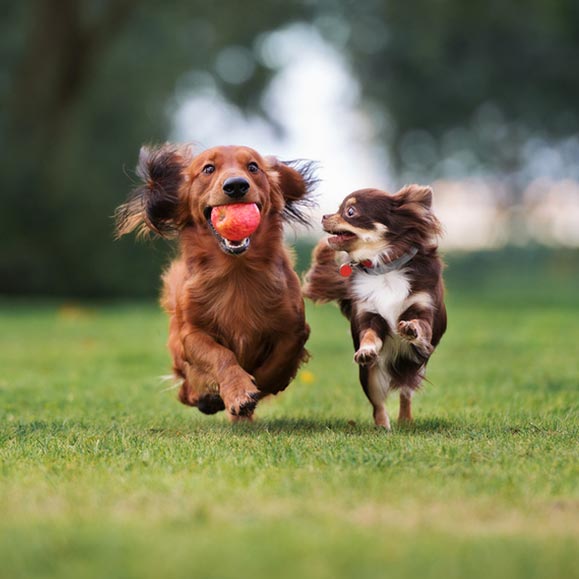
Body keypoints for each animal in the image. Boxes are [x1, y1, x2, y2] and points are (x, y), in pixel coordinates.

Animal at [116, 143, 320, 420]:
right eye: (208, 169)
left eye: (253, 166)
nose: (236, 186)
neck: (236, 272)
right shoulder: (191, 334)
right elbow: (220, 355)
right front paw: (238, 391)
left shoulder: (294, 328)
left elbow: (278, 362)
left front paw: (256, 387)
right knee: (186, 391)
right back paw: (207, 398)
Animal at [304, 187, 448, 430]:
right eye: (339, 208)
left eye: (350, 211)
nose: (324, 216)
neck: (384, 268)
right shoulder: (369, 315)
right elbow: (370, 336)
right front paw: (366, 350)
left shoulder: (423, 309)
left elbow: (420, 326)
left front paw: (411, 329)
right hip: (370, 375)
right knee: (378, 404)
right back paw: (382, 427)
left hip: (416, 367)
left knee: (405, 393)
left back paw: (405, 420)